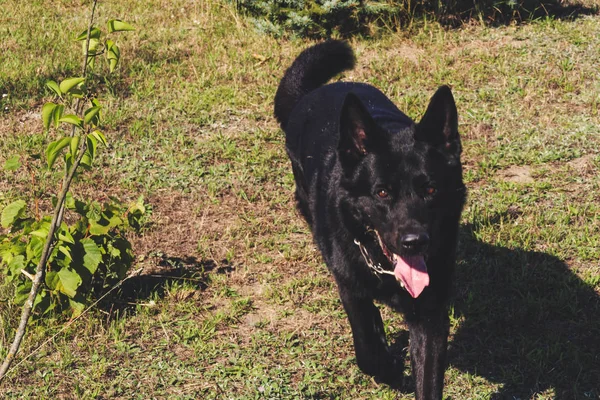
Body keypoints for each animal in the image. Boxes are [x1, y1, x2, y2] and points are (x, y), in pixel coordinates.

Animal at [274, 41, 466, 400]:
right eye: (382, 193)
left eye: (431, 189)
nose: (415, 242)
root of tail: (315, 91)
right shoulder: (350, 287)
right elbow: (366, 350)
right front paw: (388, 366)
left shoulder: (430, 312)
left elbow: (428, 378)